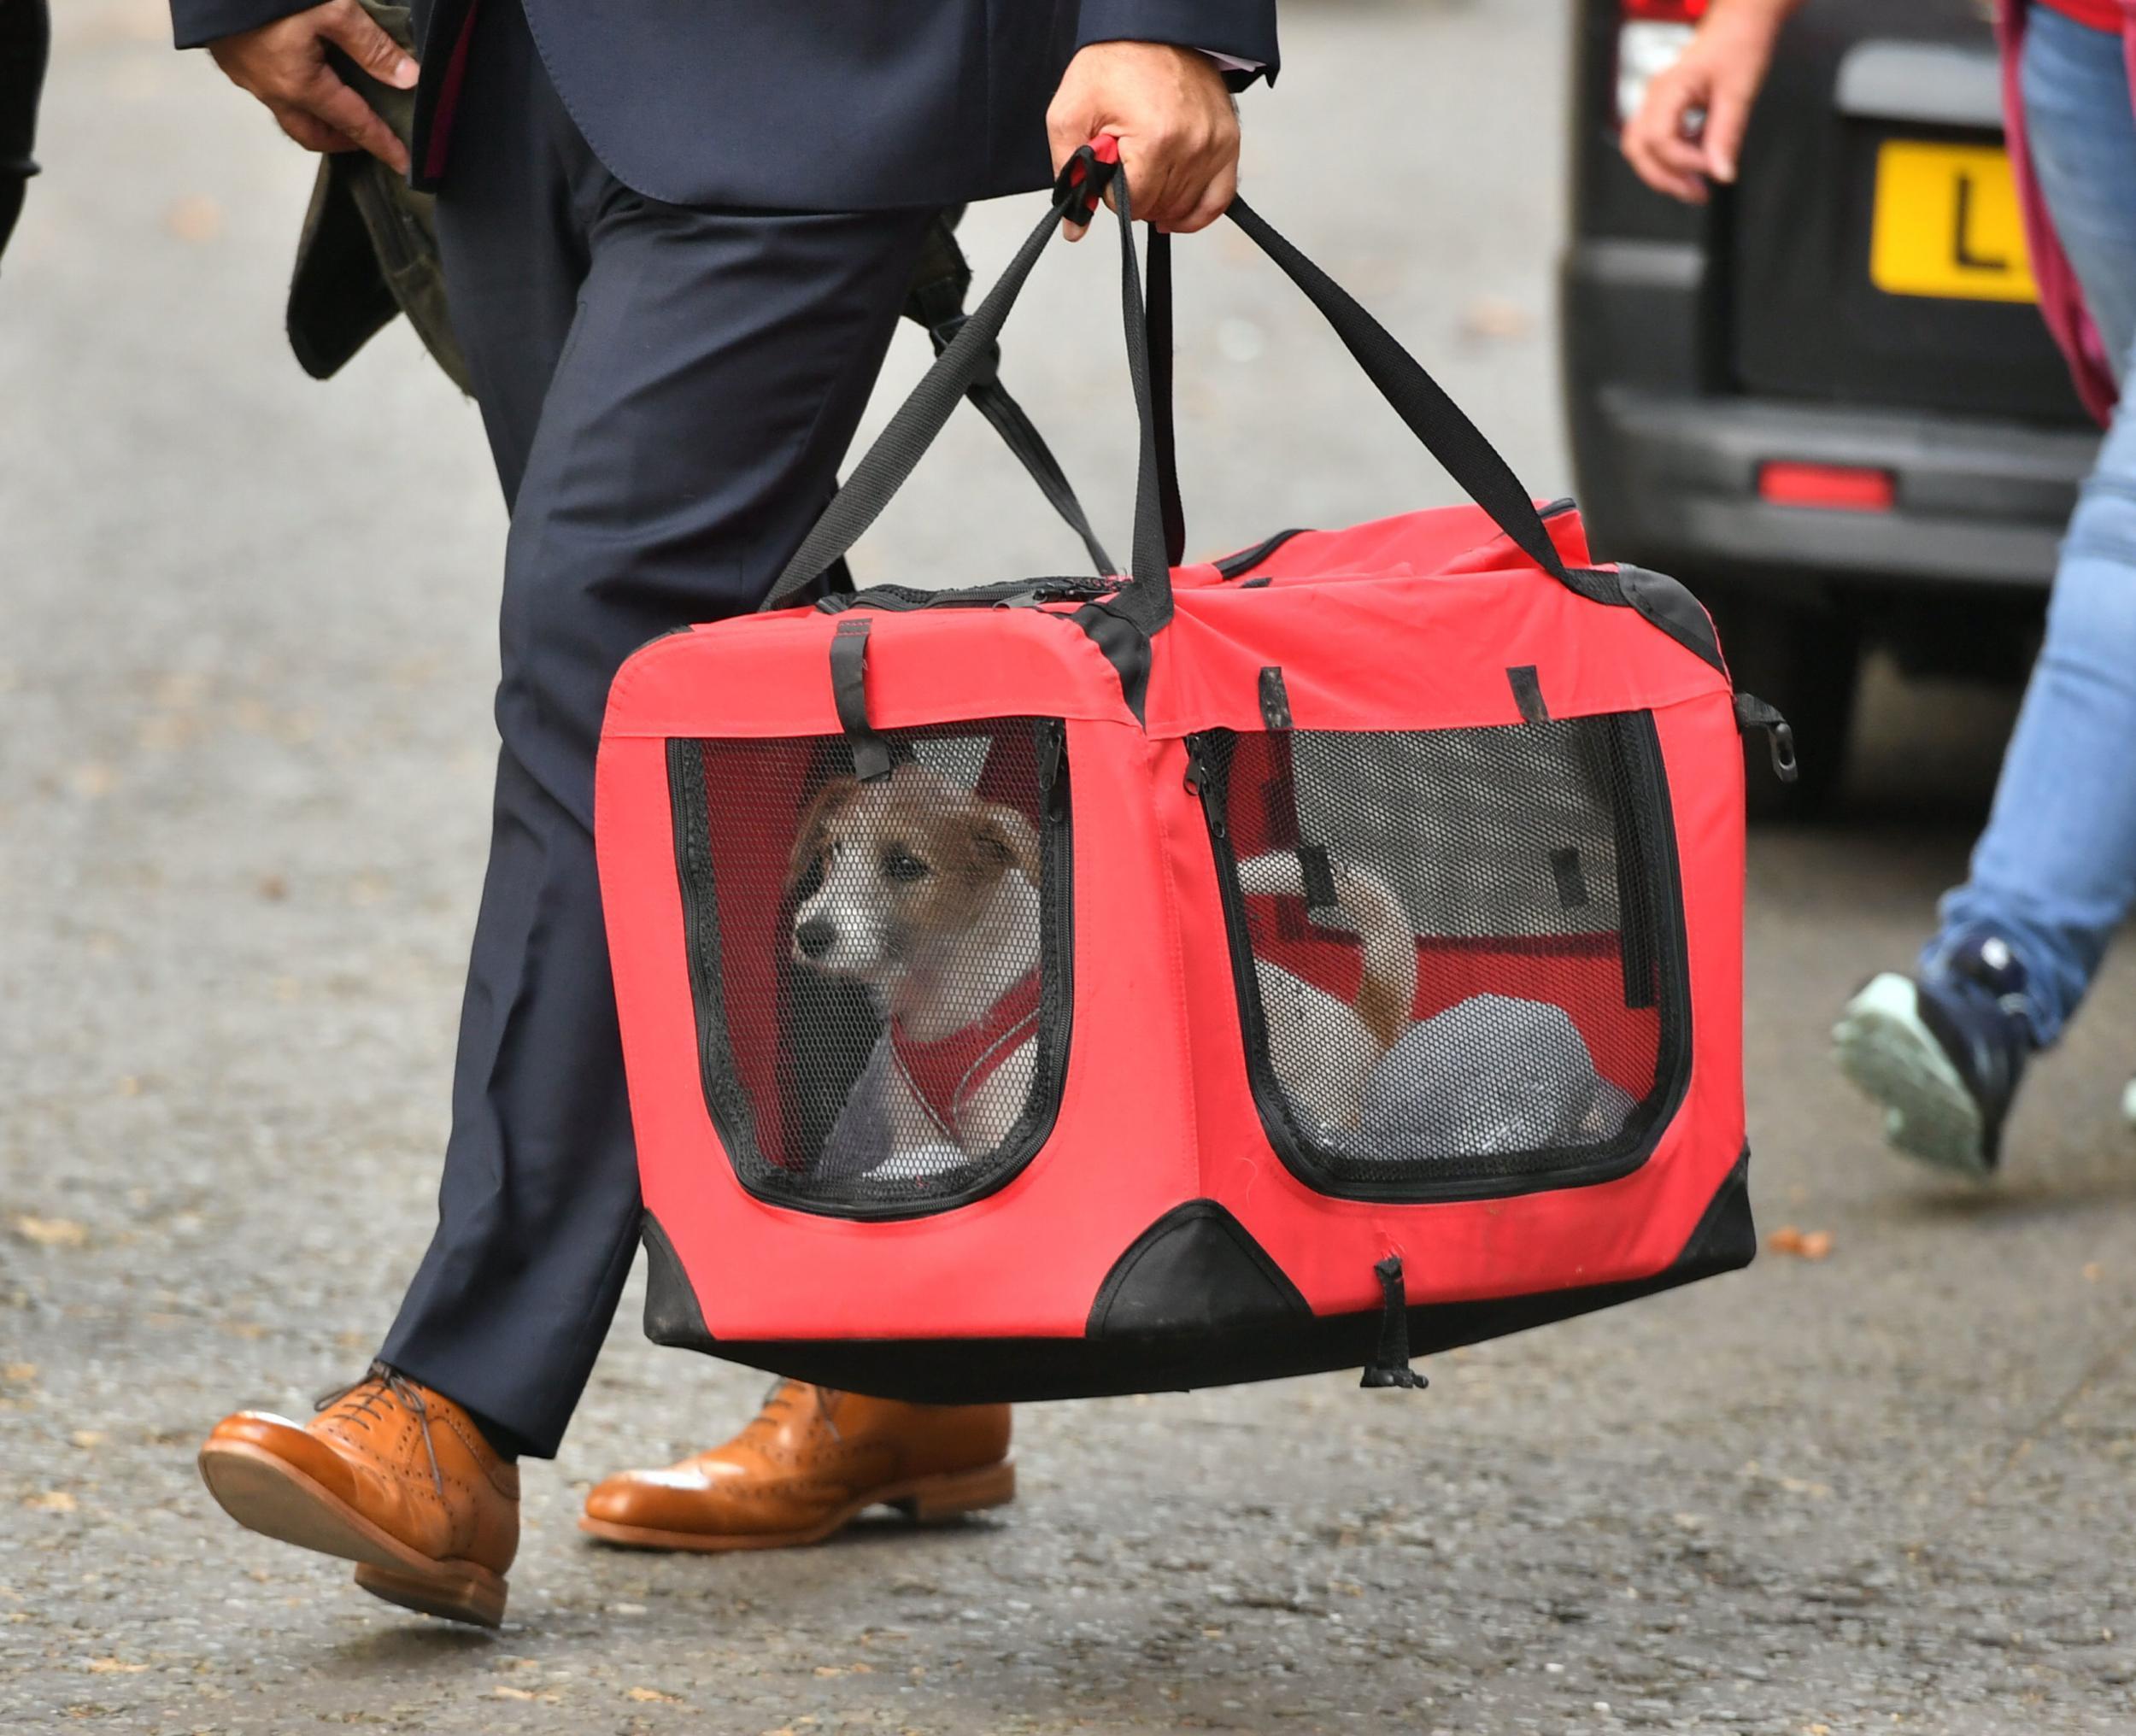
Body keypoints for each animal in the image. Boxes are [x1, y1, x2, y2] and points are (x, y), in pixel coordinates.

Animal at [594, 142, 1777, 1400]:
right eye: (823, 860)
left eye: (906, 866)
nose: (812, 935)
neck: (944, 995)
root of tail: (1370, 1034)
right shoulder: (930, 1128)